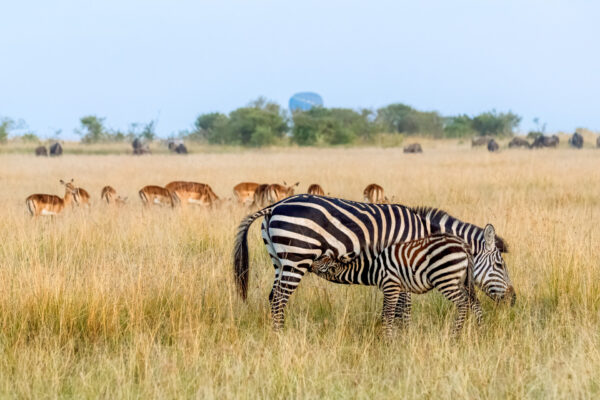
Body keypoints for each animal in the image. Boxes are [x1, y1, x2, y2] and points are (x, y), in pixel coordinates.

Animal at [312, 233, 480, 336]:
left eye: (321, 260)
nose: (309, 262)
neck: (372, 268)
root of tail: (463, 245)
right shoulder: (398, 288)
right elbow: (399, 313)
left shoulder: (390, 285)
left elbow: (387, 315)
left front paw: (387, 341)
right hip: (463, 281)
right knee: (474, 303)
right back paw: (480, 330)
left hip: (445, 279)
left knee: (463, 303)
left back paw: (454, 334)